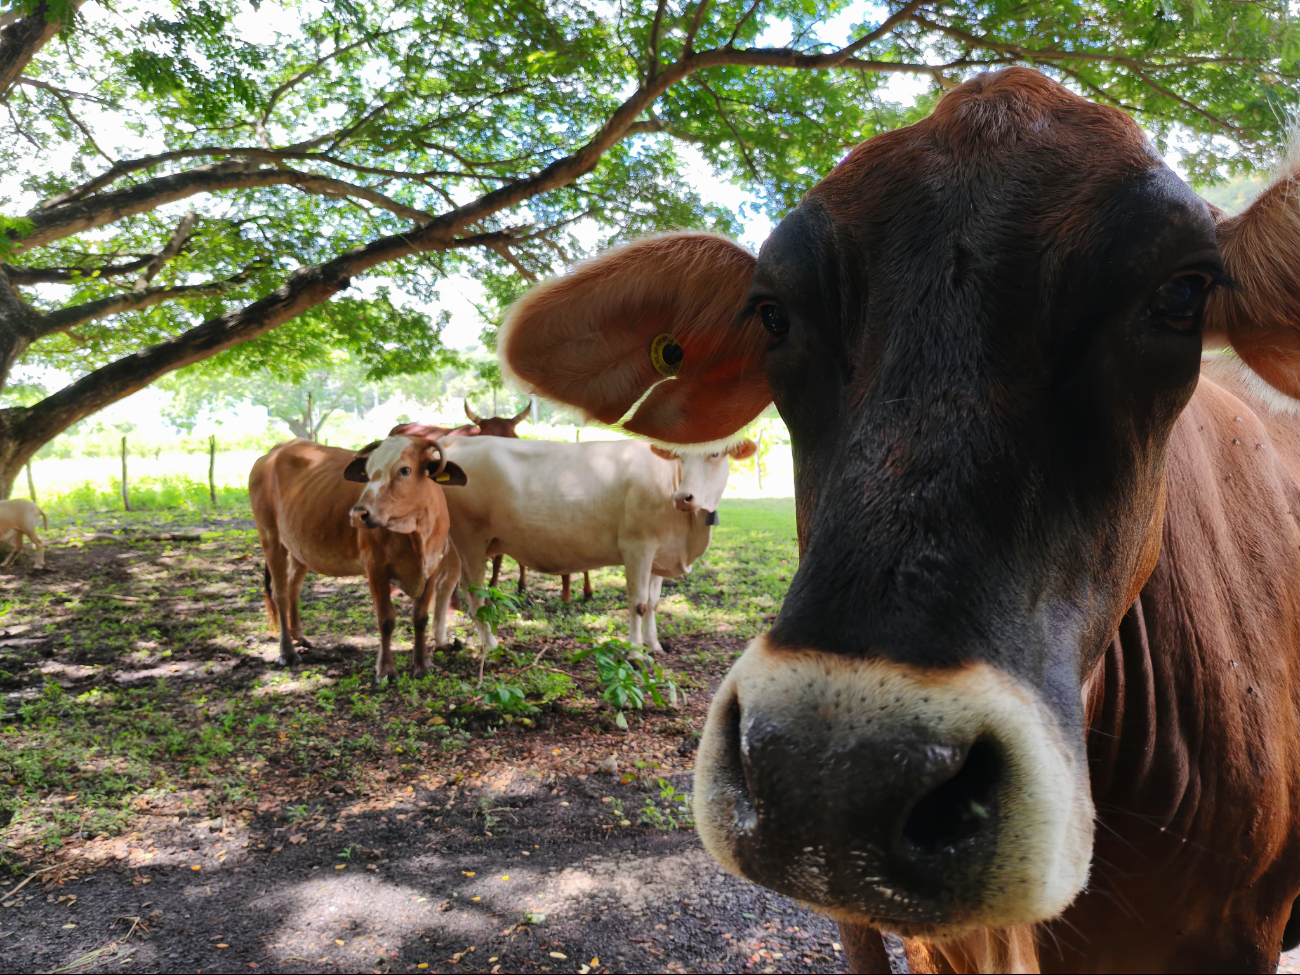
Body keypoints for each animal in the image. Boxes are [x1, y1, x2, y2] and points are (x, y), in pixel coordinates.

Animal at [245, 439, 465, 681]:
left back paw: (299, 637)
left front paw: (423, 664)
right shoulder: (376, 567)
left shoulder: (432, 567)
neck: (415, 534)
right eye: (367, 473)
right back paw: (287, 651)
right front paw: (386, 670)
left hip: (299, 549)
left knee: (293, 588)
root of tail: (274, 452)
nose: (358, 514)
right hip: (270, 537)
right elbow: (386, 619)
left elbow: (420, 616)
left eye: (405, 470)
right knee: (281, 593)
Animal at [439, 436, 759, 652]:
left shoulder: (660, 553)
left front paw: (654, 646)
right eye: (679, 457)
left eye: (714, 454)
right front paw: (635, 652)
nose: (684, 497)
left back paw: (443, 639)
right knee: (475, 592)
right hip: (471, 540)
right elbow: (638, 602)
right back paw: (491, 643)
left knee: (445, 586)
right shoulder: (637, 547)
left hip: (454, 544)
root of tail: (458, 440)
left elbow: (654, 602)